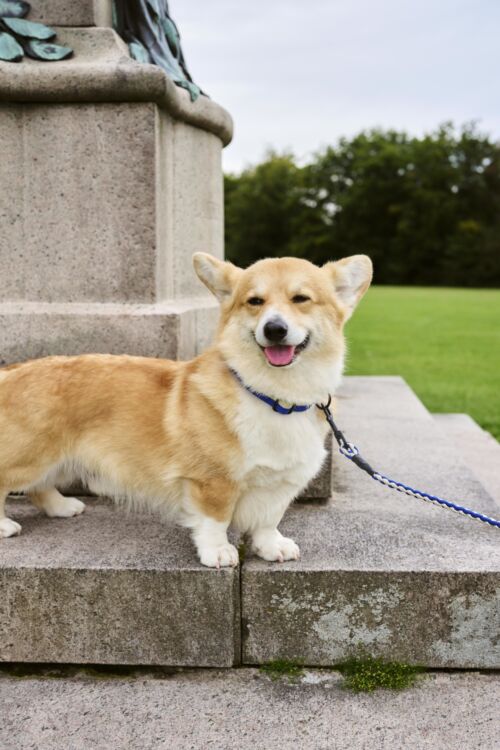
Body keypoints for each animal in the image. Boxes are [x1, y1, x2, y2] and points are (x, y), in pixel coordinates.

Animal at [0, 256, 372, 568]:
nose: (274, 329)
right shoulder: (211, 481)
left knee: (38, 488)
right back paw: (5, 525)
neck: (274, 396)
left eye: (301, 299)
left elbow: (269, 519)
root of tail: (10, 371)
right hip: (32, 456)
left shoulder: (280, 483)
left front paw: (272, 546)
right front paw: (218, 552)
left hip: (56, 460)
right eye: (255, 301)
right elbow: (215, 520)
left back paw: (62, 507)